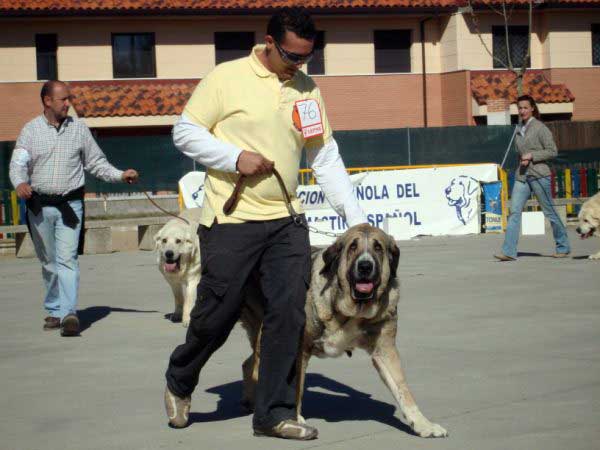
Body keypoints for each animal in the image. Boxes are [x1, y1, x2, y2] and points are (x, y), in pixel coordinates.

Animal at [241, 223, 448, 438]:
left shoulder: (385, 349)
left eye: (378, 247)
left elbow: (402, 388)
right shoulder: (300, 349)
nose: (365, 266)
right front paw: (294, 420)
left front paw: (424, 424)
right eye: (352, 247)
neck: (353, 310)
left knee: (249, 363)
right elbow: (296, 387)